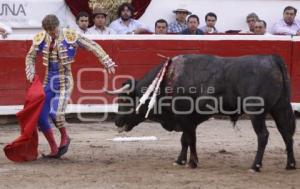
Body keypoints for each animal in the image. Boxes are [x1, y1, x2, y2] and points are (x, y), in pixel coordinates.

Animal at [106, 54, 296, 172]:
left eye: (125, 100)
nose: (116, 122)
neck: (167, 79)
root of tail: (272, 58)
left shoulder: (185, 117)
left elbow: (189, 139)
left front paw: (192, 162)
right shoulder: (189, 120)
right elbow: (186, 139)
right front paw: (181, 160)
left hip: (257, 113)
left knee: (263, 135)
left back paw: (255, 166)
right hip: (280, 108)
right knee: (286, 133)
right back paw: (291, 164)